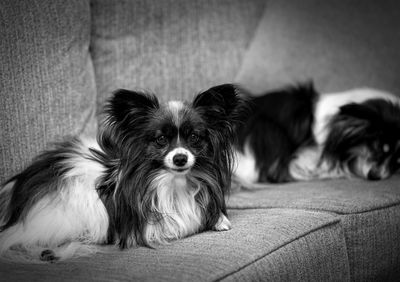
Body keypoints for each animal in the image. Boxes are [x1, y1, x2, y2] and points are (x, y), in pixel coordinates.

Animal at [0, 83, 245, 262]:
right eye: (161, 139)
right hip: (65, 213)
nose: (180, 158)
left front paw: (219, 219)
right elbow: (176, 225)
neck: (174, 182)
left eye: (194, 137)